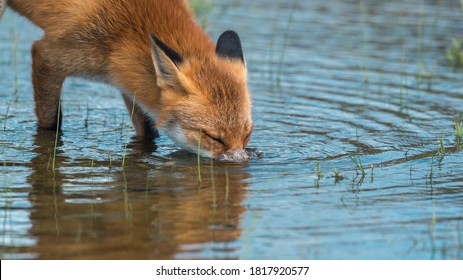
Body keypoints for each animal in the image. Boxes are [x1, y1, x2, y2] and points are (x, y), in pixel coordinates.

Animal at [0, 0, 254, 161]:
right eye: (214, 137)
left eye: (247, 134)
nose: (242, 162)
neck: (125, 31)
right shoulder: (48, 55)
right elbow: (51, 124)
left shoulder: (130, 81)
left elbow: (148, 132)